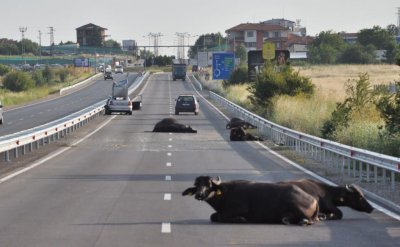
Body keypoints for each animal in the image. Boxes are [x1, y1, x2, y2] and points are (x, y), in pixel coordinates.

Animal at [182, 176, 318, 226]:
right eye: (197, 185)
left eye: (209, 185)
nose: (199, 195)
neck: (226, 193)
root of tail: (313, 199)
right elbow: (213, 216)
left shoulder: (239, 208)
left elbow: (217, 216)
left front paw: (240, 219)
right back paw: (287, 220)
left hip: (296, 206)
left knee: (310, 220)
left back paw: (303, 221)